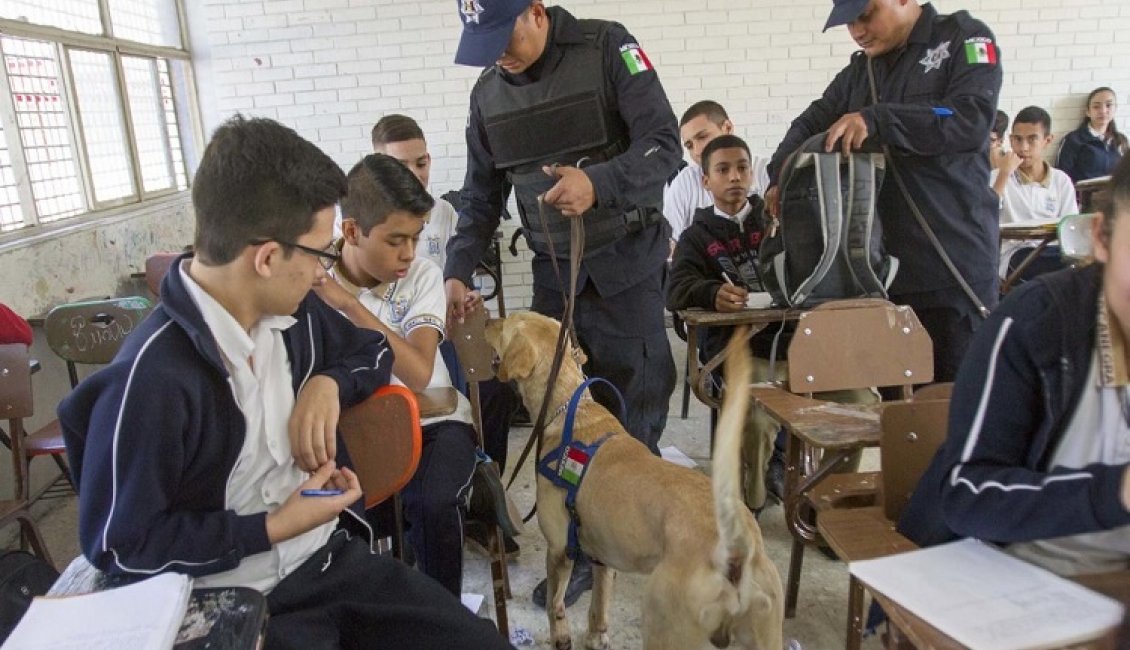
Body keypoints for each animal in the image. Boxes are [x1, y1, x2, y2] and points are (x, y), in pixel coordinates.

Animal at [485, 312, 786, 650]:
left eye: (505, 322)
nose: (484, 320)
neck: (570, 409)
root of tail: (737, 550)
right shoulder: (601, 558)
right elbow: (599, 607)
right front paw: (596, 638)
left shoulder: (560, 549)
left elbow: (555, 604)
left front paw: (560, 637)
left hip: (662, 623)